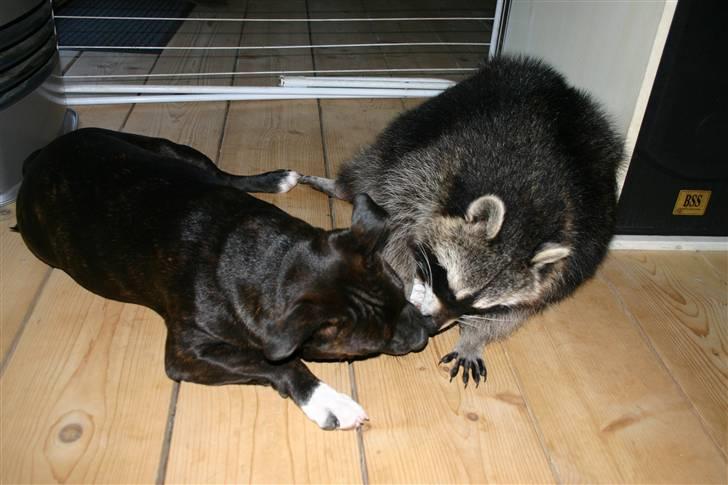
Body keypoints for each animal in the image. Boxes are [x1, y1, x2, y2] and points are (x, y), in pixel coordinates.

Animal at [15, 126, 432, 430]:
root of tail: (39, 156)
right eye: (373, 343)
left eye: (402, 294)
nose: (424, 334)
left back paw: (274, 178)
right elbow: (277, 364)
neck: (273, 257)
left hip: (170, 149)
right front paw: (326, 399)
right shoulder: (189, 354)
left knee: (219, 175)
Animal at [298, 54, 624, 384]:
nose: (431, 326)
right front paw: (402, 284)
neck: (527, 211)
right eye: (445, 279)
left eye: (475, 304)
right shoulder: (433, 171)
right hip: (429, 118)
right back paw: (343, 185)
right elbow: (396, 225)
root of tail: (558, 86)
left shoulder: (571, 252)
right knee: (375, 164)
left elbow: (520, 308)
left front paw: (475, 337)